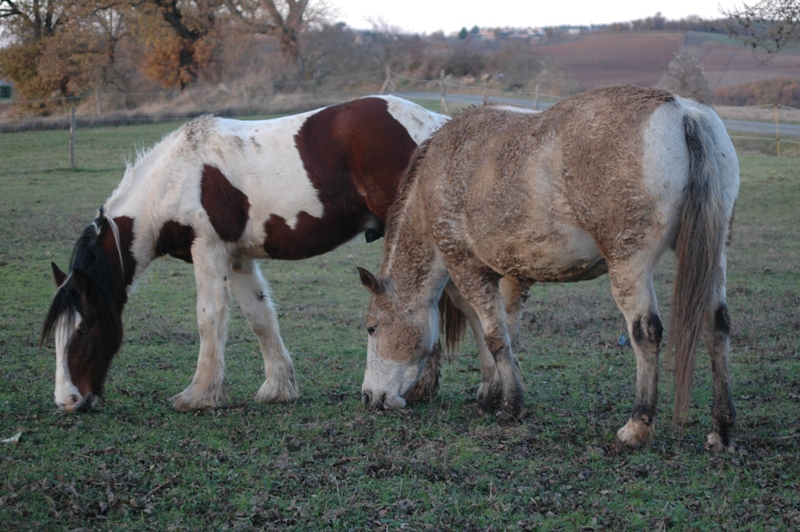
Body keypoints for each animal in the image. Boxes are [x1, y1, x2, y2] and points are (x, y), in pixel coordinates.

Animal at [42, 94, 450, 412]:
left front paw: (198, 395)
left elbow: (209, 319)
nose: (67, 401)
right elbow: (260, 317)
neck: (174, 181)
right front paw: (278, 389)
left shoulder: (208, 251)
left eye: (83, 328)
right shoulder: (237, 259)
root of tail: (438, 125)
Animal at [360, 85, 740, 450]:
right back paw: (720, 432)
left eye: (372, 328)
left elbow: (494, 337)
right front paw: (494, 395)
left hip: (629, 266)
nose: (369, 397)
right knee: (716, 326)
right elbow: (501, 333)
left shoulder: (468, 269)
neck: (435, 182)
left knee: (646, 333)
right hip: (714, 258)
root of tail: (680, 109)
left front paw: (509, 406)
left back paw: (637, 428)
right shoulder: (511, 277)